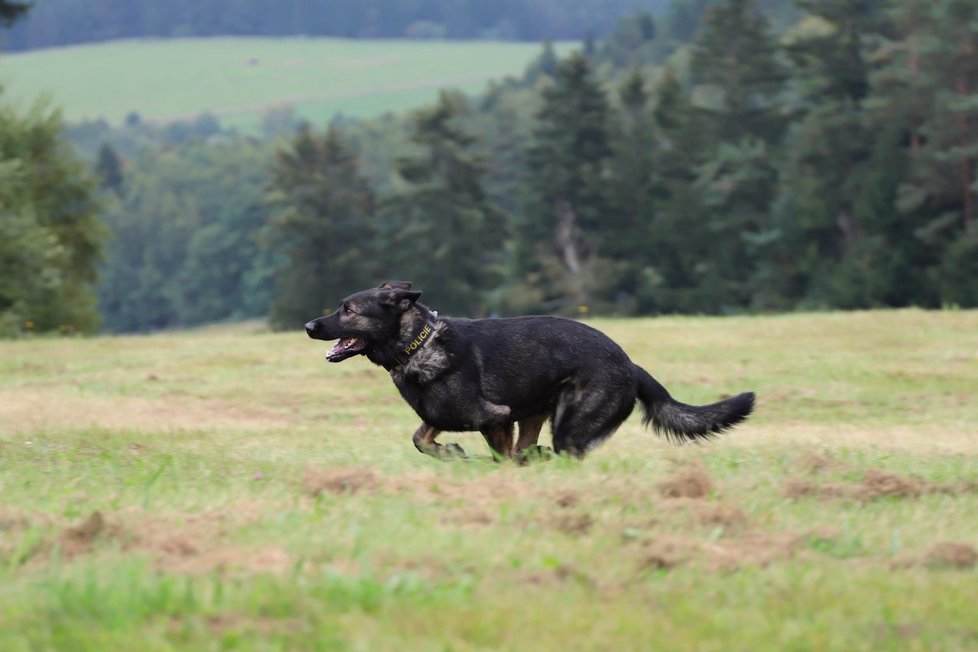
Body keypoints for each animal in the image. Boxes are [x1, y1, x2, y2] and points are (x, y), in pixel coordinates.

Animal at [304, 282, 756, 460]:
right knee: (532, 449)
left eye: (349, 310)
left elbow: (499, 456)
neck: (418, 343)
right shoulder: (440, 417)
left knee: (550, 454)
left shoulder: (495, 418)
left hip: (568, 425)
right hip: (538, 413)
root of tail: (631, 364)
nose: (309, 326)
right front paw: (450, 453)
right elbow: (421, 438)